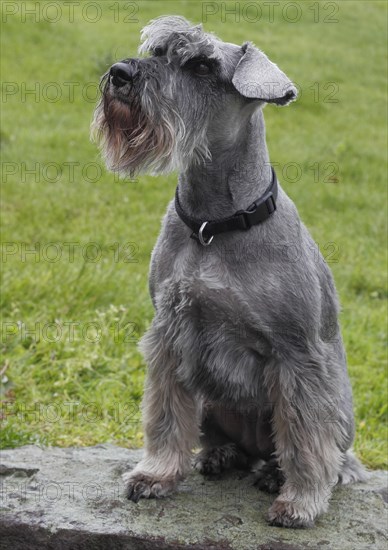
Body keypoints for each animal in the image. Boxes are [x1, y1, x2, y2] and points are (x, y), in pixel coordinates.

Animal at [91, 15, 366, 528]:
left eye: (202, 65)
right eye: (158, 50)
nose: (120, 72)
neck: (214, 225)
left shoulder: (296, 355)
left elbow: (305, 438)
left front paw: (300, 502)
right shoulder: (169, 337)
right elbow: (165, 416)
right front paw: (157, 474)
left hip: (338, 409)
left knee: (316, 450)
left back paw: (280, 475)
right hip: (212, 403)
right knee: (224, 440)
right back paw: (220, 456)